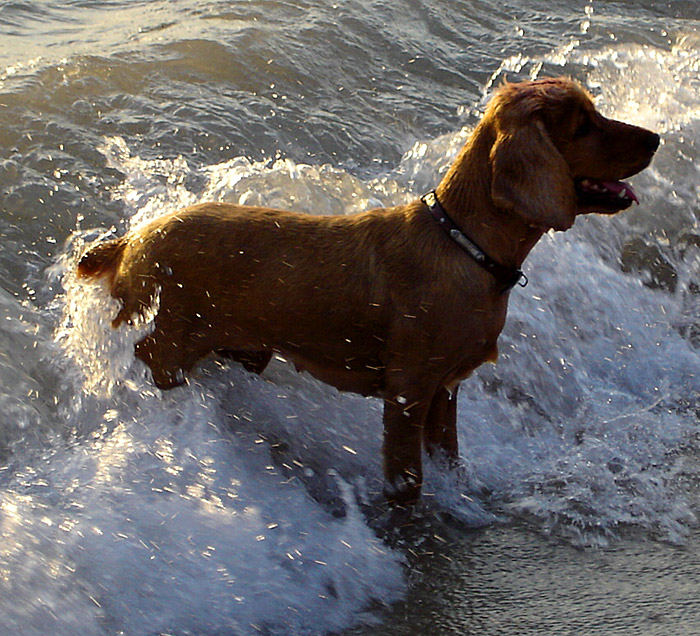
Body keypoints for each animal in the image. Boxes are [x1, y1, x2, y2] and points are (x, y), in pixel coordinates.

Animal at [79, 78, 660, 506]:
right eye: (584, 126)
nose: (655, 138)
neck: (463, 244)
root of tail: (130, 240)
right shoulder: (407, 393)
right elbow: (408, 480)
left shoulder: (446, 390)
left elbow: (450, 458)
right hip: (165, 349)